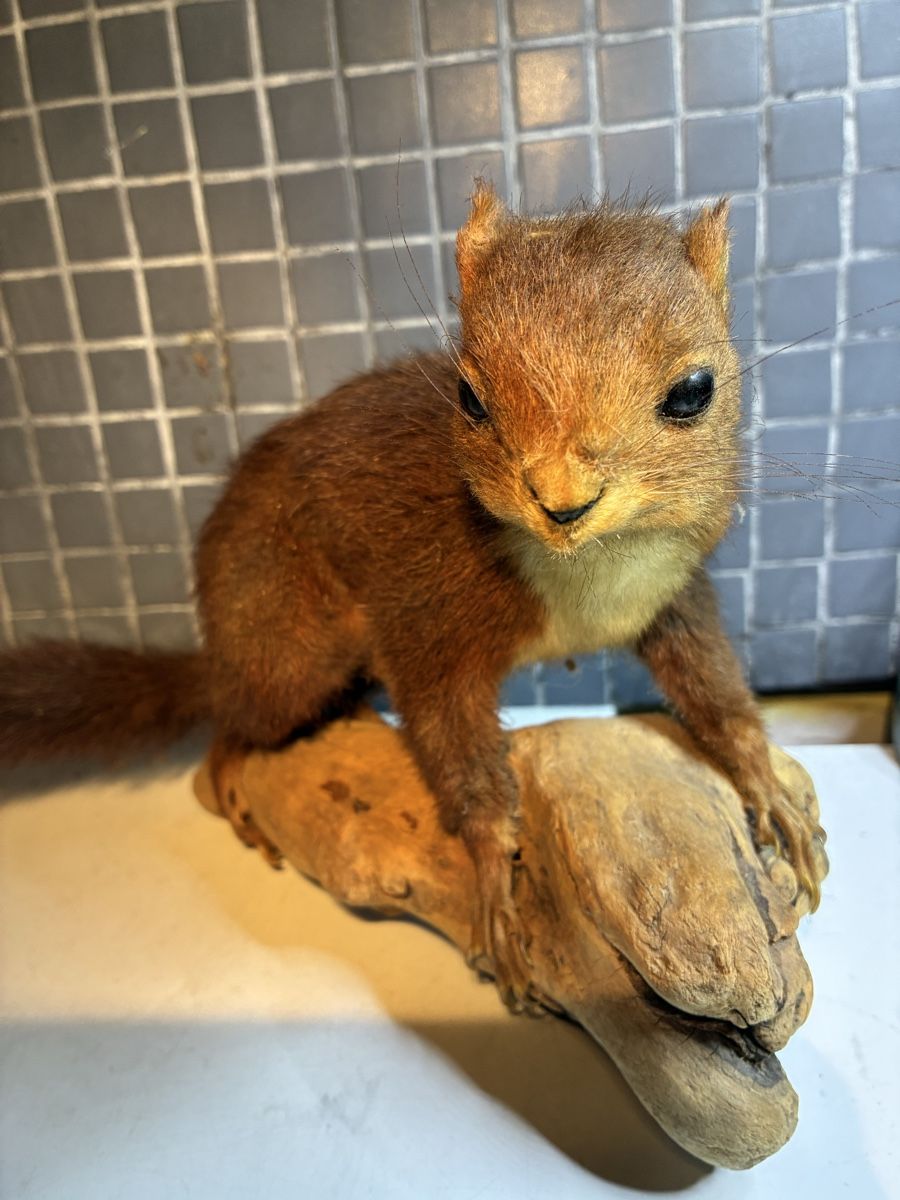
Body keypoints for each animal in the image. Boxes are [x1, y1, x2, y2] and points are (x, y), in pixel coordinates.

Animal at [0, 184, 822, 1009]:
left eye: (694, 391)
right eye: (469, 395)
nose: (562, 502)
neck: (591, 578)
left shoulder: (673, 596)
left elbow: (715, 689)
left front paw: (767, 787)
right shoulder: (429, 615)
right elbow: (449, 739)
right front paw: (494, 873)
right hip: (284, 643)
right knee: (233, 719)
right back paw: (231, 769)